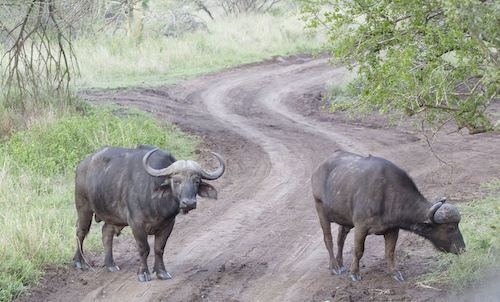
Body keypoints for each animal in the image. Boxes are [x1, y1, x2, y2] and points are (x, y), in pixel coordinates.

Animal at [73, 144, 226, 280]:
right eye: (176, 180)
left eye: (196, 181)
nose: (188, 203)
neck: (157, 205)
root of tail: (82, 164)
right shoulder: (137, 224)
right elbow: (144, 249)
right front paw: (143, 273)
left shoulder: (168, 224)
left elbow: (159, 249)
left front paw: (161, 272)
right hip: (83, 207)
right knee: (81, 231)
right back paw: (80, 262)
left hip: (113, 216)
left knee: (106, 232)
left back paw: (110, 264)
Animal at [310, 152, 466, 282]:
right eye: (451, 228)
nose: (462, 249)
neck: (387, 194)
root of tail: (319, 168)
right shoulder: (361, 227)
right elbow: (358, 251)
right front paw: (354, 273)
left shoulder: (392, 230)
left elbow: (390, 252)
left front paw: (394, 273)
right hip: (320, 207)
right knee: (328, 238)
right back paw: (334, 266)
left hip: (345, 218)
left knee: (340, 237)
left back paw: (340, 262)